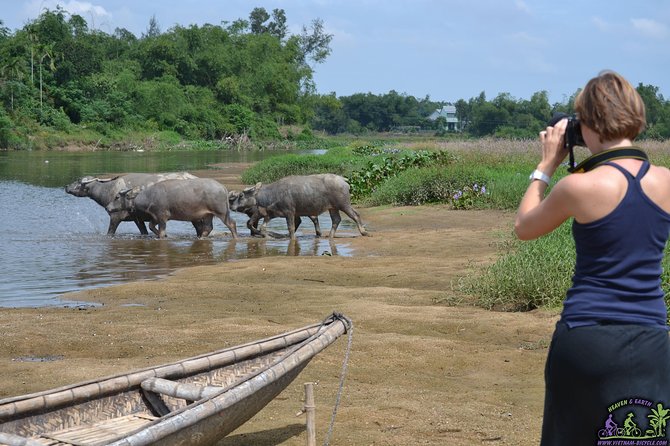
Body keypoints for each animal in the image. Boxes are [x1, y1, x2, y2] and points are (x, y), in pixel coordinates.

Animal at [65, 172, 213, 237]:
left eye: (78, 180)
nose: (66, 187)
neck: (110, 190)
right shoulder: (137, 219)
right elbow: (144, 232)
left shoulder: (115, 217)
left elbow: (110, 232)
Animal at [106, 179, 238, 240]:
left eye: (117, 197)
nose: (108, 207)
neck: (149, 196)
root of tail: (223, 188)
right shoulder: (155, 217)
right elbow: (151, 226)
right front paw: (165, 235)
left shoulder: (162, 217)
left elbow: (161, 230)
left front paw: (163, 235)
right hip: (207, 215)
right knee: (208, 228)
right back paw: (200, 238)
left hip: (222, 212)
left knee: (231, 223)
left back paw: (235, 237)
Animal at [228, 173, 370, 240]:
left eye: (241, 195)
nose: (231, 206)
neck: (272, 195)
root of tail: (343, 180)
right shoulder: (270, 214)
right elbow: (262, 228)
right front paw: (270, 235)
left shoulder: (289, 212)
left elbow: (291, 228)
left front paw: (290, 238)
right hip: (333, 208)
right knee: (336, 220)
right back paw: (330, 236)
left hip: (344, 204)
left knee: (355, 215)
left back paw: (364, 232)